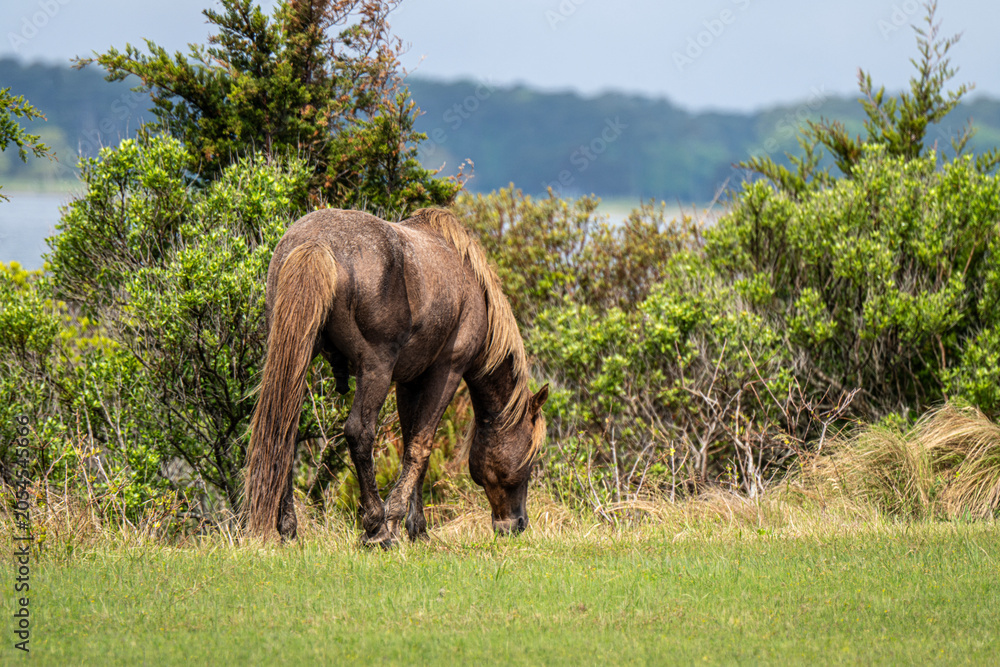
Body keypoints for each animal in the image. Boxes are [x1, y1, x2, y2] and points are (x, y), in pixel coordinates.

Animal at [243, 207, 548, 546]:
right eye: (532, 455)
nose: (517, 523)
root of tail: (316, 243)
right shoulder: (447, 371)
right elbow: (421, 445)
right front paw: (393, 520)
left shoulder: (408, 380)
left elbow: (410, 444)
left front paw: (417, 528)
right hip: (376, 367)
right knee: (359, 432)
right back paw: (375, 528)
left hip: (298, 352)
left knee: (284, 427)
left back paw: (288, 529)